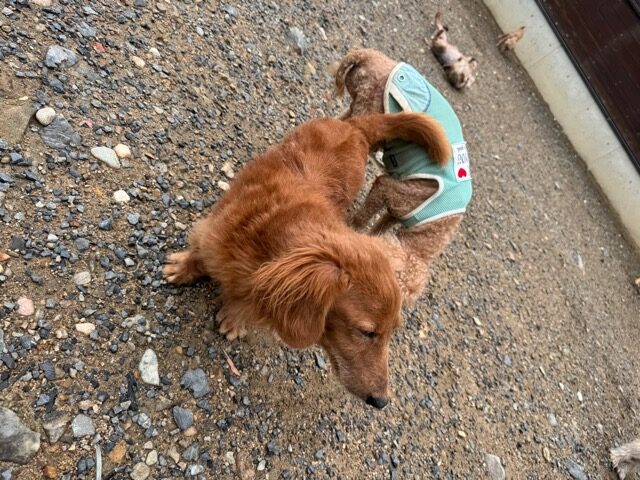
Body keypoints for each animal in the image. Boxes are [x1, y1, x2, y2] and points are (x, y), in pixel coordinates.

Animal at [164, 113, 450, 408]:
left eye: (392, 331)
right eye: (367, 332)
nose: (382, 401)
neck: (270, 242)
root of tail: (355, 128)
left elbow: (247, 305)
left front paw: (235, 318)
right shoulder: (212, 234)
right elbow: (198, 256)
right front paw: (182, 269)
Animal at [332, 48, 472, 306]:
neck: (433, 228)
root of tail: (374, 57)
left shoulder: (397, 212)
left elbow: (379, 225)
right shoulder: (388, 188)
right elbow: (361, 219)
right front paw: (351, 228)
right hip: (371, 109)